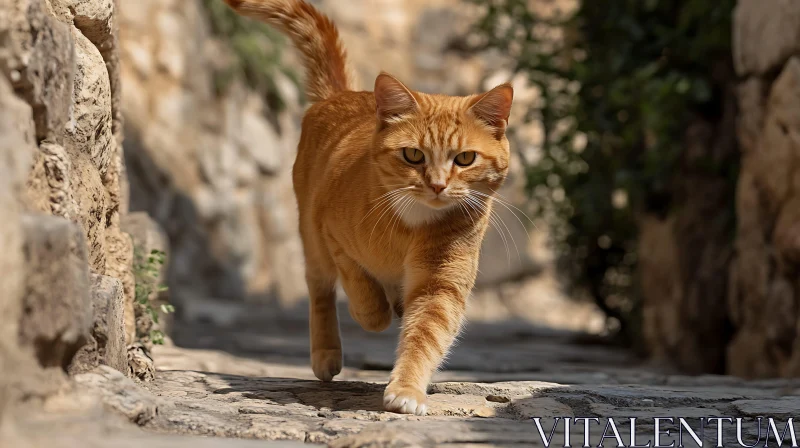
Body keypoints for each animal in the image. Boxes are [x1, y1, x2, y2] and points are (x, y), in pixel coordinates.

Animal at [222, 0, 516, 416]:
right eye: (413, 155)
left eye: (465, 158)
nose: (437, 184)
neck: (411, 225)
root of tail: (341, 94)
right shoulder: (331, 233)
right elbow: (360, 288)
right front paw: (373, 311)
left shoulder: (440, 284)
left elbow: (425, 334)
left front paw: (407, 390)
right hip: (311, 240)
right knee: (320, 290)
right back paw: (328, 352)